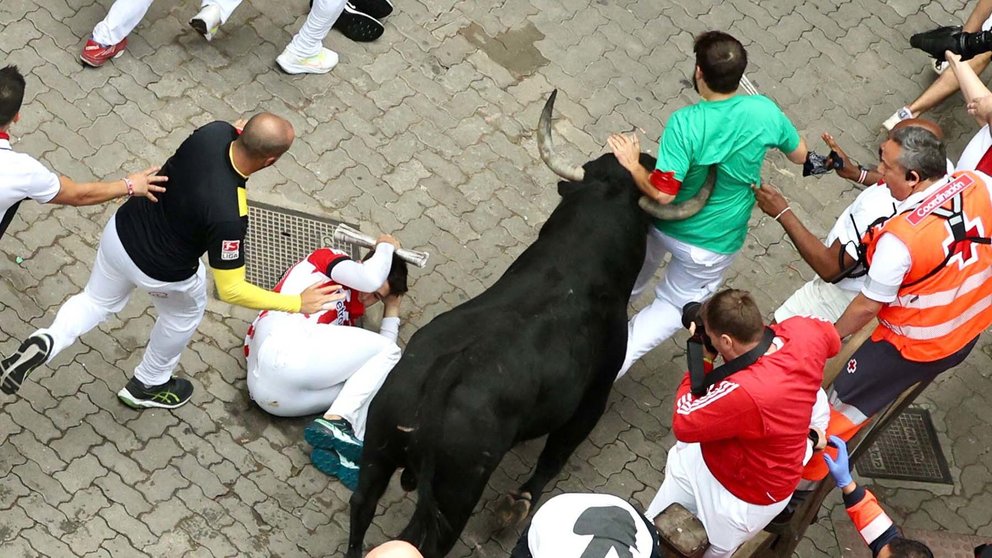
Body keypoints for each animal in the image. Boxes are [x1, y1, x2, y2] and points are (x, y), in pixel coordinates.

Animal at [344, 93, 708, 558]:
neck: (577, 260)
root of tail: (439, 381)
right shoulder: (592, 397)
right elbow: (554, 458)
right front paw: (517, 504)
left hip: (378, 449)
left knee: (362, 506)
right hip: (453, 495)